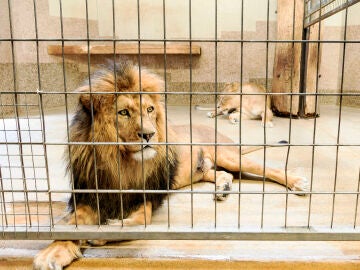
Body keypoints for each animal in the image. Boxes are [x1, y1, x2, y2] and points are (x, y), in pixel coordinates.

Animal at [33, 61, 310, 270]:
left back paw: (297, 182)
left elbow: (139, 222)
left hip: (229, 155)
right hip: (203, 170)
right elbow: (70, 224)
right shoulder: (91, 195)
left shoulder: (149, 195)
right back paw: (222, 188)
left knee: (268, 169)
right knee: (221, 174)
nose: (149, 134)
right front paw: (52, 252)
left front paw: (103, 232)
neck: (121, 162)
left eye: (150, 109)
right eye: (123, 113)